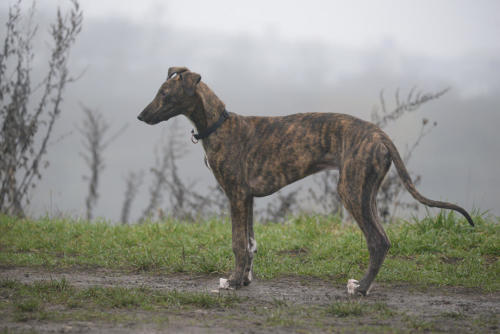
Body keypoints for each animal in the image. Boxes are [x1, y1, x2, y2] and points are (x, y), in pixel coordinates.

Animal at [137, 67, 472, 294]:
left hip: (350, 190)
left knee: (377, 241)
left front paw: (231, 282)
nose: (141, 116)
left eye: (165, 94)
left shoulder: (236, 195)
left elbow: (238, 243)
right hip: (367, 191)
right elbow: (250, 242)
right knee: (384, 239)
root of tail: (380, 135)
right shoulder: (248, 198)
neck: (219, 125)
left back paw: (361, 288)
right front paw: (244, 280)